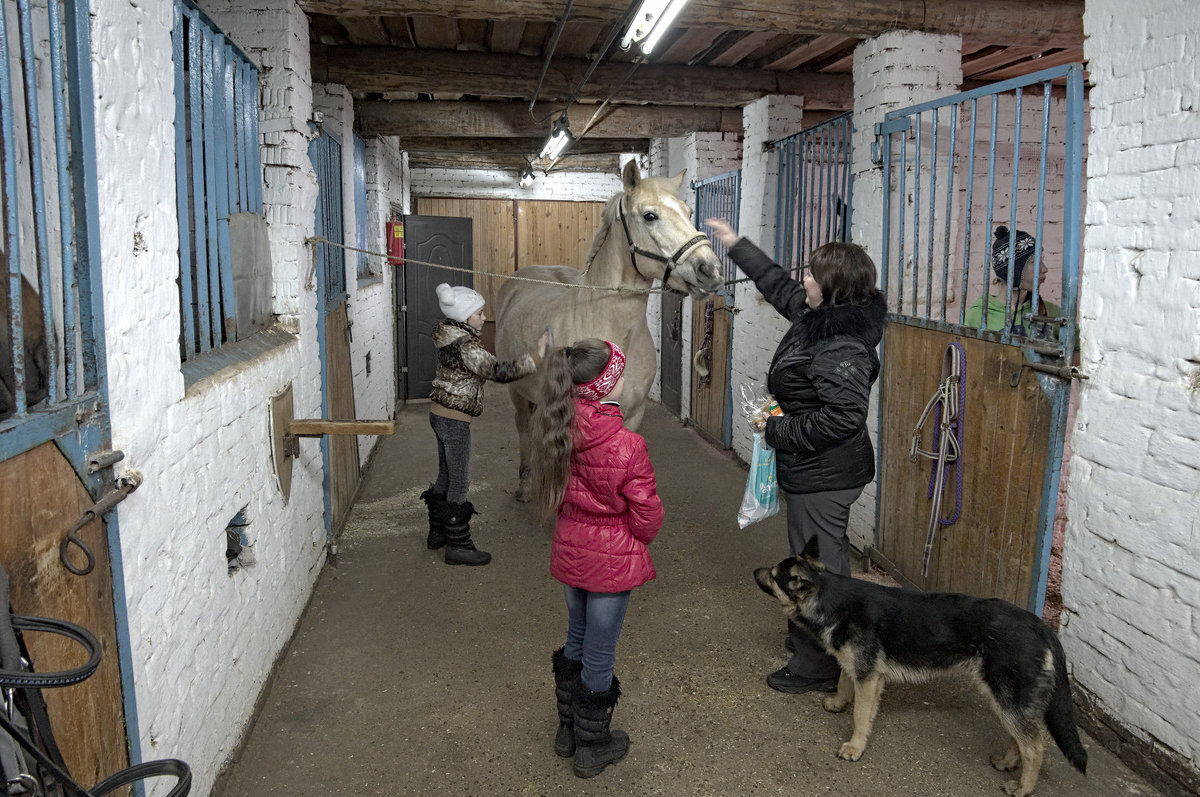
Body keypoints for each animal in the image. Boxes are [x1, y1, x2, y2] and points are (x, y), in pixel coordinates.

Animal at [494, 158, 720, 501]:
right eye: (650, 215)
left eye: (688, 210)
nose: (710, 270)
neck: (610, 327)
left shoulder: (633, 415)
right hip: (516, 392)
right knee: (524, 429)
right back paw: (525, 484)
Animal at [758, 535, 1089, 797]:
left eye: (773, 576)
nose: (754, 571)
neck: (829, 596)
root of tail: (1041, 627)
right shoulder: (862, 670)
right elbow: (843, 680)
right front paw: (838, 702)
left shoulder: (869, 678)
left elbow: (861, 715)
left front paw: (854, 747)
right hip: (1004, 701)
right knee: (1020, 737)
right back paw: (1008, 762)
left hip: (1007, 699)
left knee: (1035, 748)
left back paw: (1022, 787)